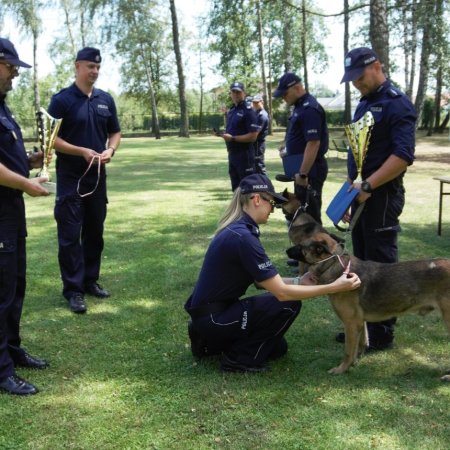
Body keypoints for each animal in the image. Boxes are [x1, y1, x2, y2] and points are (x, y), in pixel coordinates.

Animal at [286, 213, 448, 382]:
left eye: (301, 245)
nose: (286, 251)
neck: (333, 264)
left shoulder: (351, 323)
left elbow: (348, 351)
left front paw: (341, 369)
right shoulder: (360, 322)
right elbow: (361, 344)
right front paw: (354, 363)